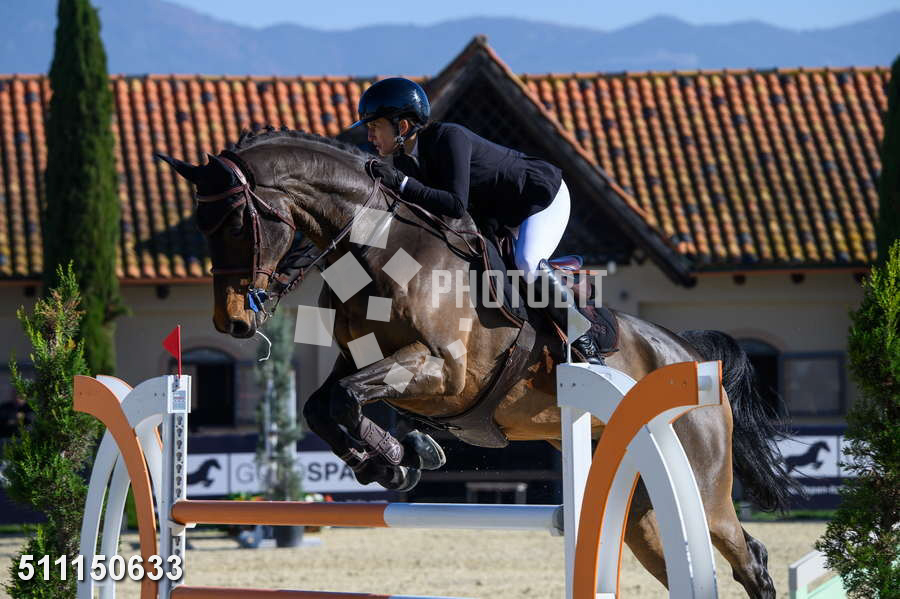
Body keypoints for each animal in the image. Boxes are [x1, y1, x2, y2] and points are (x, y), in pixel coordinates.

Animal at [157, 128, 798, 598]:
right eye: (201, 227)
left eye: (236, 223)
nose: (233, 322)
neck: (380, 246)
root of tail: (692, 355)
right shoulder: (363, 362)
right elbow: (325, 405)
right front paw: (396, 461)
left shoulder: (442, 371)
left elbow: (346, 399)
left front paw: (404, 456)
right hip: (640, 508)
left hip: (704, 486)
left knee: (750, 557)